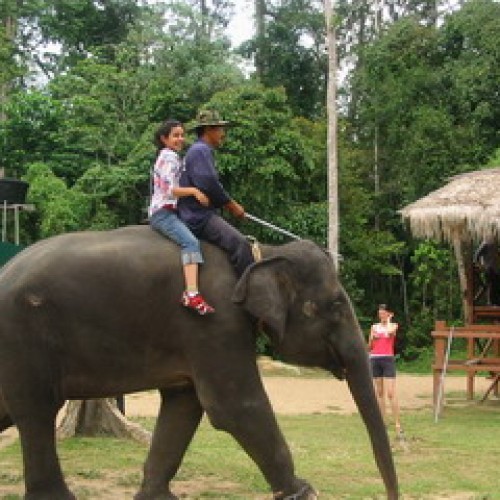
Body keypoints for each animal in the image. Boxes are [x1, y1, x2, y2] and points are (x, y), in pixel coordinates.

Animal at [0, 226, 398, 500]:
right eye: (336, 305)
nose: (392, 495)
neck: (261, 253)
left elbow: (184, 405)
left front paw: (156, 497)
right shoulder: (214, 320)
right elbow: (235, 407)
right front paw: (305, 493)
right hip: (23, 341)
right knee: (37, 413)